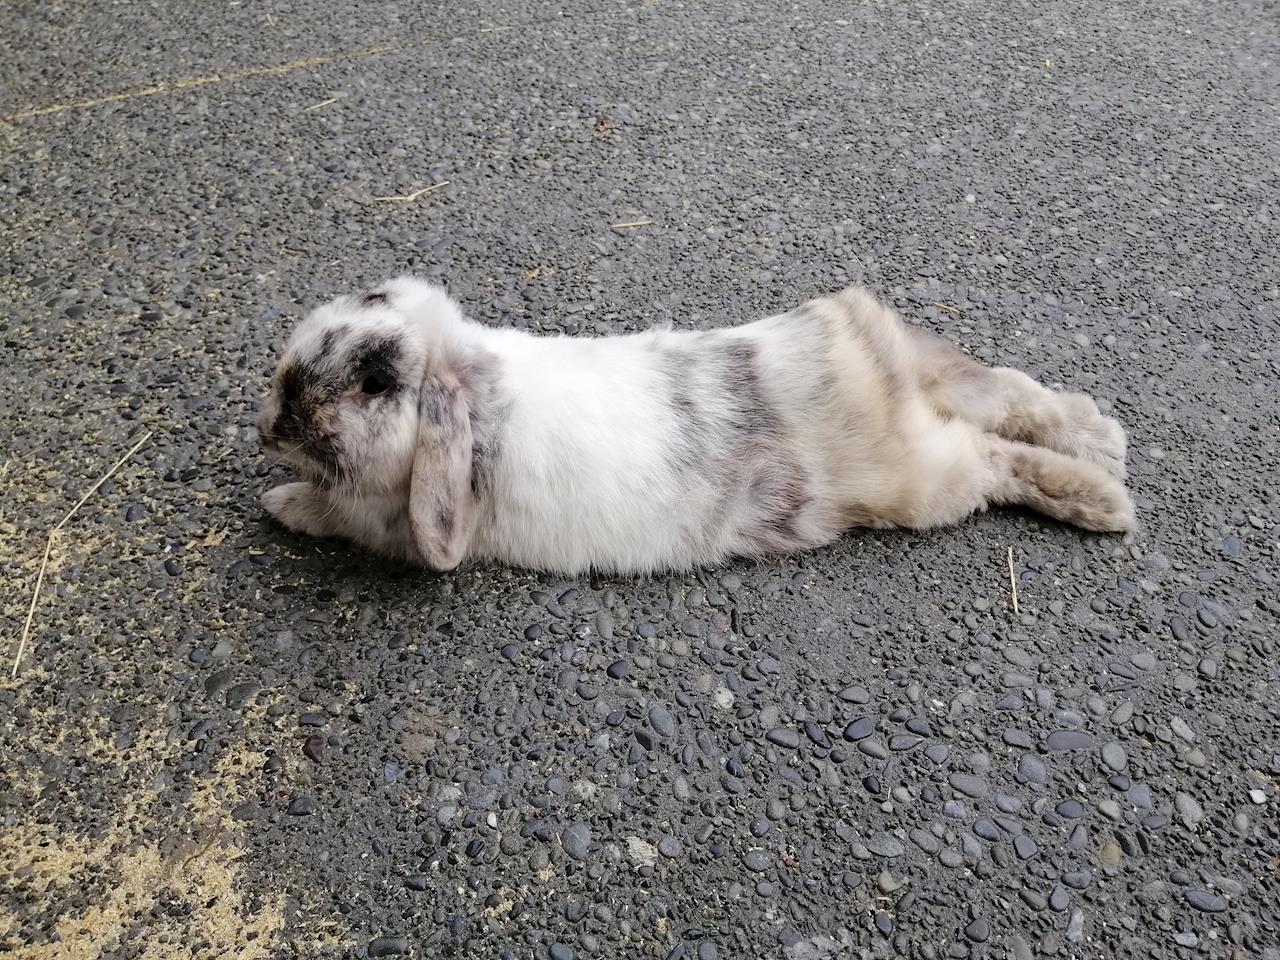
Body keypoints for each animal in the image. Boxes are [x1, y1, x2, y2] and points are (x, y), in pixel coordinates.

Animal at [258, 277, 1134, 575]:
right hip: (928, 384)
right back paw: (1102, 437)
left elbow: (328, 514)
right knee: (997, 393)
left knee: (992, 456)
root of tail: (868, 362)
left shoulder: (387, 527)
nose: (272, 418)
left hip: (927, 478)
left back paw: (1102, 501)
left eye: (376, 382)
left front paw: (278, 505)